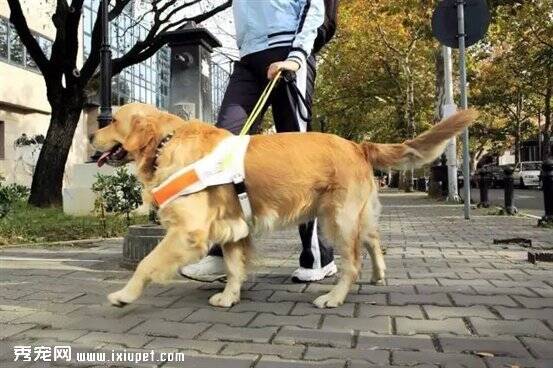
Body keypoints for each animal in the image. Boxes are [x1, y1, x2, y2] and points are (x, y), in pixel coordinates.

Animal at [90, 101, 474, 308]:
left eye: (112, 120)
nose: (90, 135)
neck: (166, 142)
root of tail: (357, 144)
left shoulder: (189, 232)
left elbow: (147, 263)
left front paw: (124, 295)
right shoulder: (233, 227)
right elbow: (234, 267)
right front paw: (229, 296)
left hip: (336, 219)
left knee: (353, 262)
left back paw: (334, 297)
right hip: (357, 215)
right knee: (374, 240)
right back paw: (379, 276)